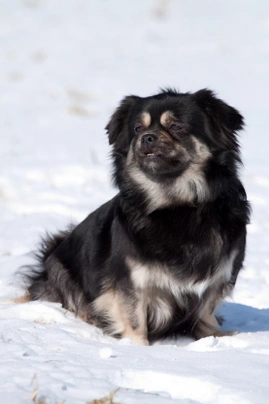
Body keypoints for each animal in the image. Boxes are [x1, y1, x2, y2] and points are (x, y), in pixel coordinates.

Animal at [24, 88, 250, 344]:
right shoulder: (131, 283)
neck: (176, 206)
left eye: (177, 127)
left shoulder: (218, 278)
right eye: (137, 129)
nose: (148, 137)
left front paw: (213, 336)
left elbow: (206, 311)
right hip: (61, 271)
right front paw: (137, 347)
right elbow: (134, 319)